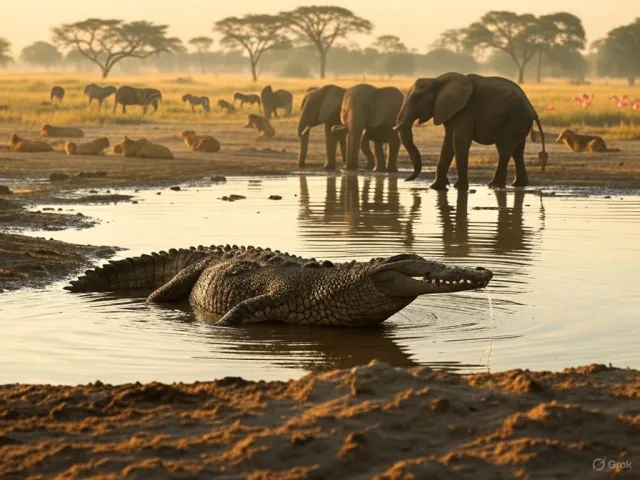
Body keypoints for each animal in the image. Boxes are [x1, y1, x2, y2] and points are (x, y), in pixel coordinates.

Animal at [395, 72, 548, 189]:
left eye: (416, 98)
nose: (406, 180)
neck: (438, 80)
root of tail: (532, 109)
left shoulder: (465, 111)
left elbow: (459, 141)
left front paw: (459, 187)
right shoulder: (450, 111)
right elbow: (448, 143)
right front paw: (436, 187)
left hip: (514, 119)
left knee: (504, 150)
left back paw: (493, 185)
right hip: (520, 122)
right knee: (517, 151)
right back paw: (517, 185)